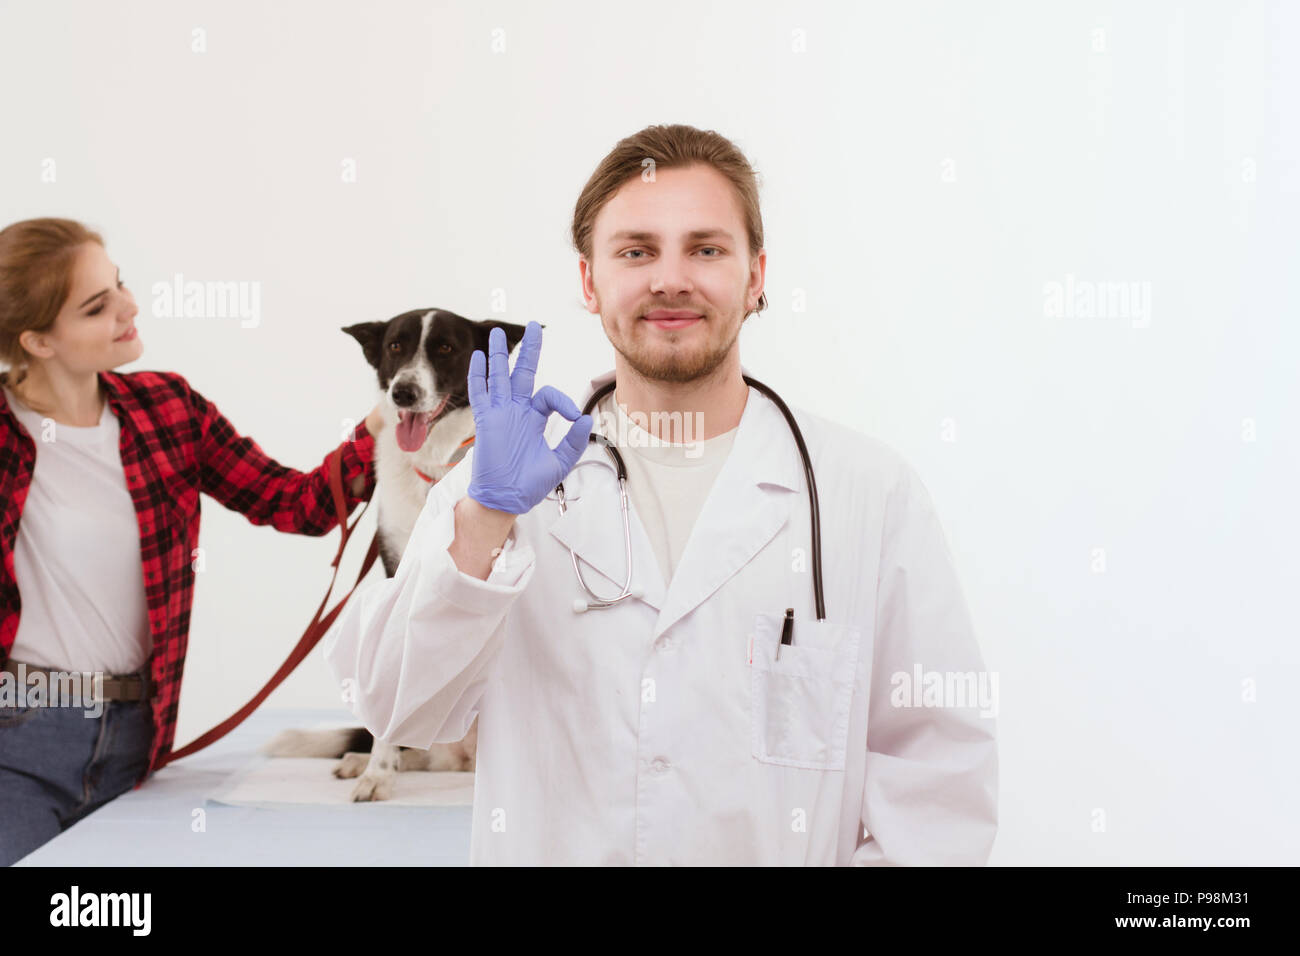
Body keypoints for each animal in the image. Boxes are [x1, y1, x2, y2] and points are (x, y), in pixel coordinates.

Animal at [261, 308, 525, 801]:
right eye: (395, 347)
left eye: (445, 348)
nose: (403, 391)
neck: (434, 469)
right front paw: (378, 772)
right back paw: (365, 760)